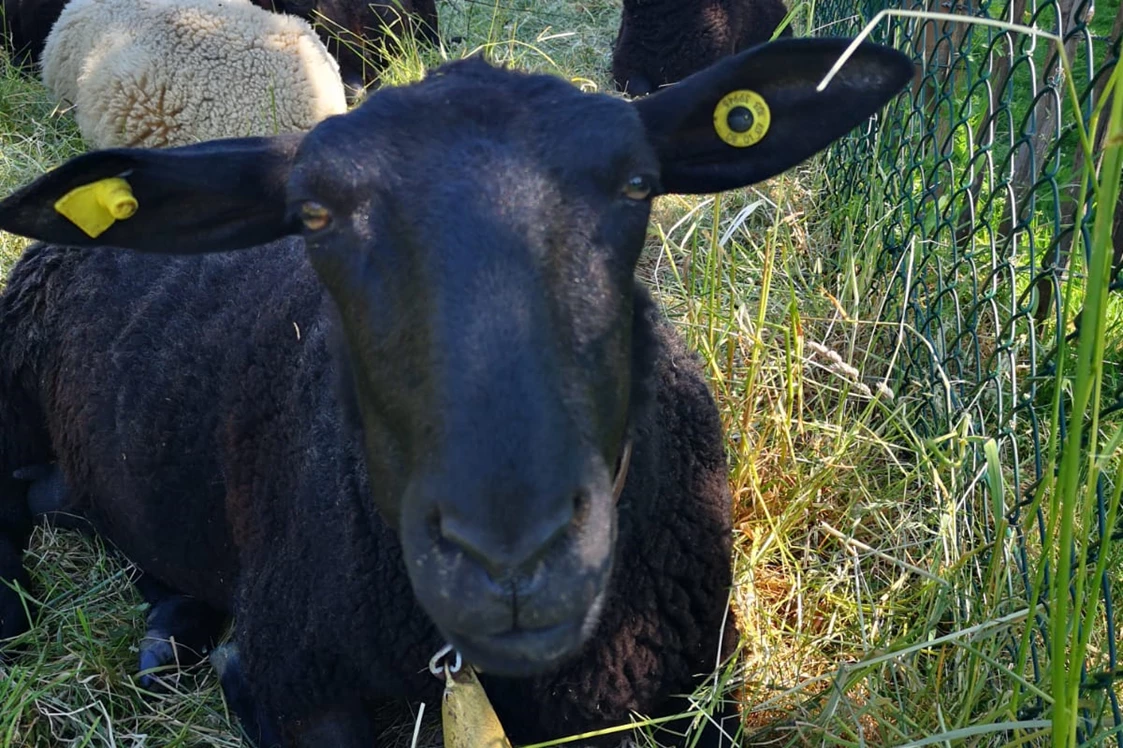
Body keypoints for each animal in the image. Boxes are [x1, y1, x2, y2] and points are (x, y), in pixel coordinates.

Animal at [0, 42, 911, 745]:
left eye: (637, 184)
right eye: (313, 215)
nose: (511, 564)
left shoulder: (704, 686)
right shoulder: (294, 682)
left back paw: (169, 632)